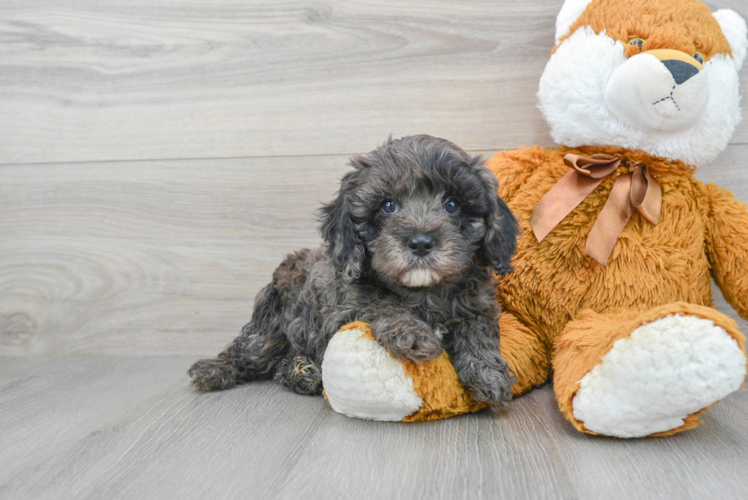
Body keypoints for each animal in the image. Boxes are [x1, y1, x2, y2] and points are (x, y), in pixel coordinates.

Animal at [188, 135, 520, 408]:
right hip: (269, 328)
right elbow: (383, 304)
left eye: (452, 205)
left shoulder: (478, 304)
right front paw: (413, 334)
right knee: (247, 350)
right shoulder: (345, 307)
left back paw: (301, 372)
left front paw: (488, 374)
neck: (423, 291)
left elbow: (477, 332)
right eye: (388, 206)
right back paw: (213, 370)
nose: (421, 242)